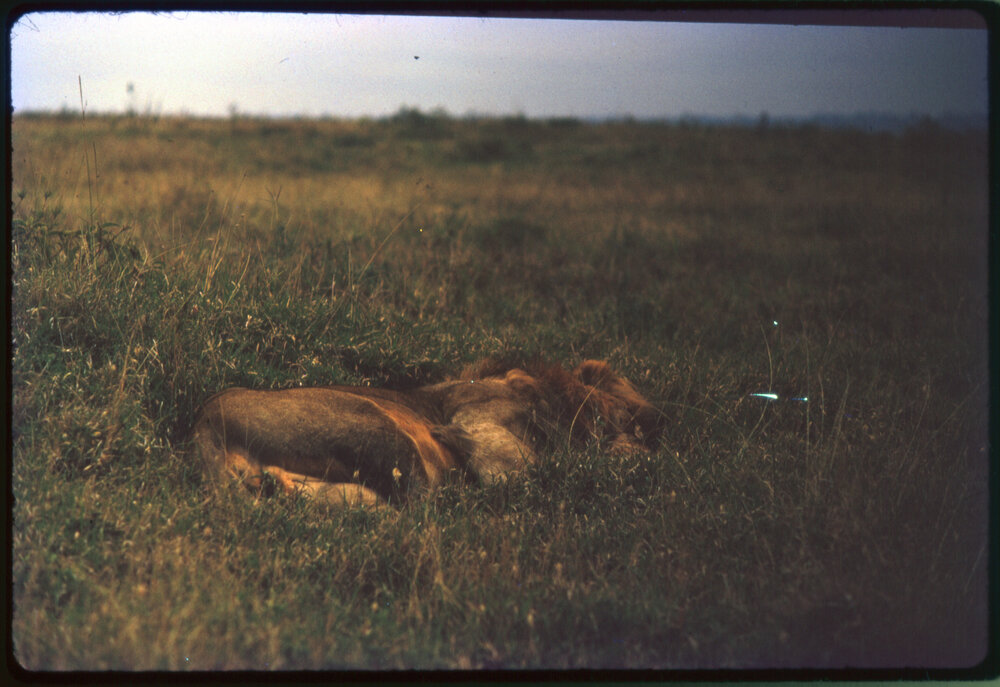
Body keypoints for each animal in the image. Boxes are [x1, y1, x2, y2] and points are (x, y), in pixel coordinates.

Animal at [191, 358, 661, 508]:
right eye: (632, 424)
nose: (651, 452)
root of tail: (204, 418)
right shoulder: (474, 420)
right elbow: (516, 467)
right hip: (379, 426)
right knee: (421, 507)